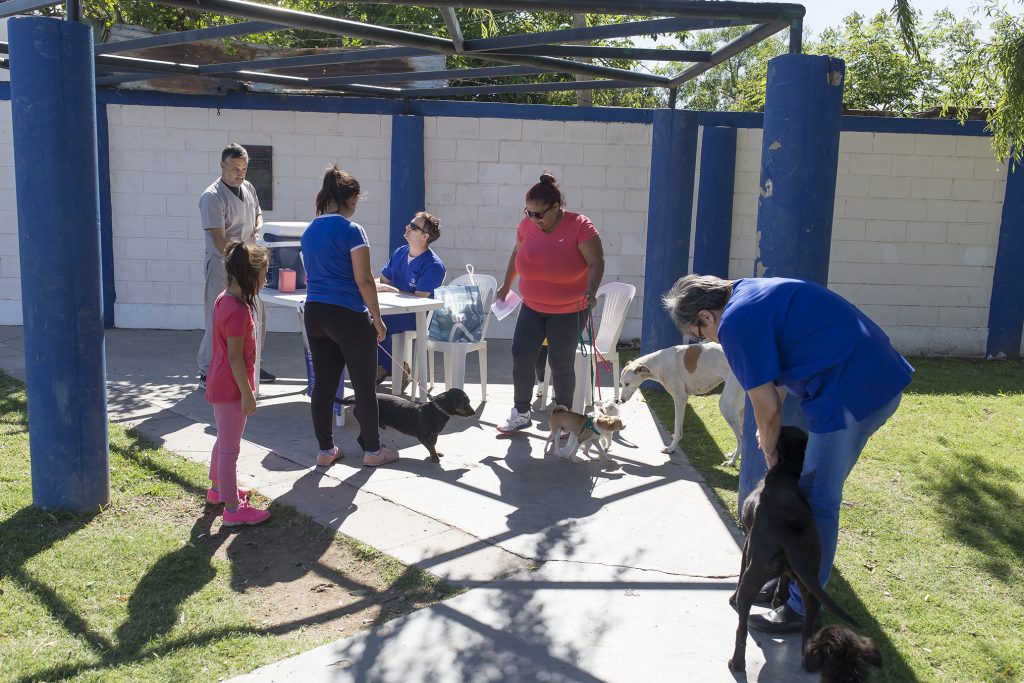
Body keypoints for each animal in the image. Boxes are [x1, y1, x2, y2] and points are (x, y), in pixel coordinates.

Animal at [614, 342, 745, 464]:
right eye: (621, 383)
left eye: (627, 384)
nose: (621, 400)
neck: (660, 363)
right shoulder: (681, 399)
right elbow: (679, 427)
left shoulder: (680, 397)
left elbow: (677, 425)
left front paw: (671, 448)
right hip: (740, 410)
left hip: (727, 406)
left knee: (741, 437)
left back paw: (732, 462)